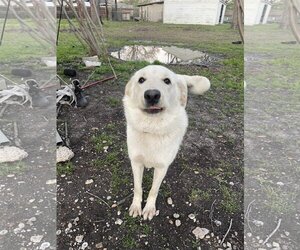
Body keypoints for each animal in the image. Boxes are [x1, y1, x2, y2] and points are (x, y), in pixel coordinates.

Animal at [123, 65, 210, 220]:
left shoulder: (162, 168)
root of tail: (180, 75)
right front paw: (136, 206)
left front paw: (149, 208)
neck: (152, 129)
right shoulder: (136, 163)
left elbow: (153, 190)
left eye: (167, 81)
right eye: (141, 80)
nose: (152, 95)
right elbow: (138, 188)